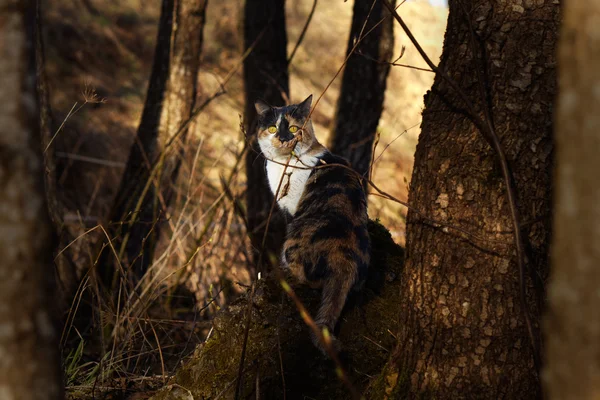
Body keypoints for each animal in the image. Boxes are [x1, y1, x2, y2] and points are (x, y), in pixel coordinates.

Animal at [254, 94, 370, 354]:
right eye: (273, 128)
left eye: (293, 129)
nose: (284, 138)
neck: (285, 166)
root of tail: (344, 258)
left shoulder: (291, 208)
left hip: (294, 244)